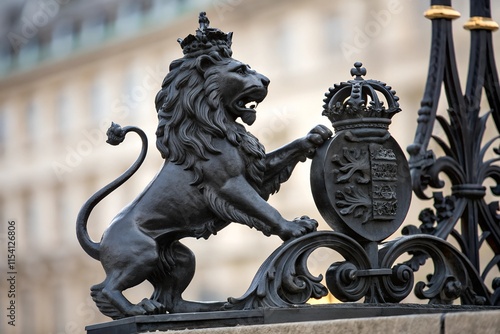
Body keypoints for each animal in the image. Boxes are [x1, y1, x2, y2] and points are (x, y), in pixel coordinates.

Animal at [75, 12, 332, 318]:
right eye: (241, 70)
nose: (267, 80)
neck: (215, 126)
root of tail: (100, 242)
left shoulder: (256, 169)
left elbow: (286, 152)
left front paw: (317, 135)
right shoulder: (229, 183)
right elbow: (264, 210)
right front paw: (295, 228)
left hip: (180, 256)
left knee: (172, 300)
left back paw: (208, 306)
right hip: (142, 253)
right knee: (104, 289)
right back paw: (139, 310)